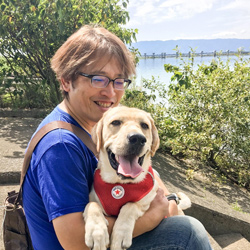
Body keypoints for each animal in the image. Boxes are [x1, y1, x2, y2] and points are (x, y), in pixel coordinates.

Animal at [83, 106, 190, 250]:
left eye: (144, 125)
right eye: (115, 122)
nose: (138, 138)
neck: (121, 183)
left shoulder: (147, 202)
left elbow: (130, 205)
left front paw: (121, 235)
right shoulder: (93, 198)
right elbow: (91, 205)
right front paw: (97, 233)